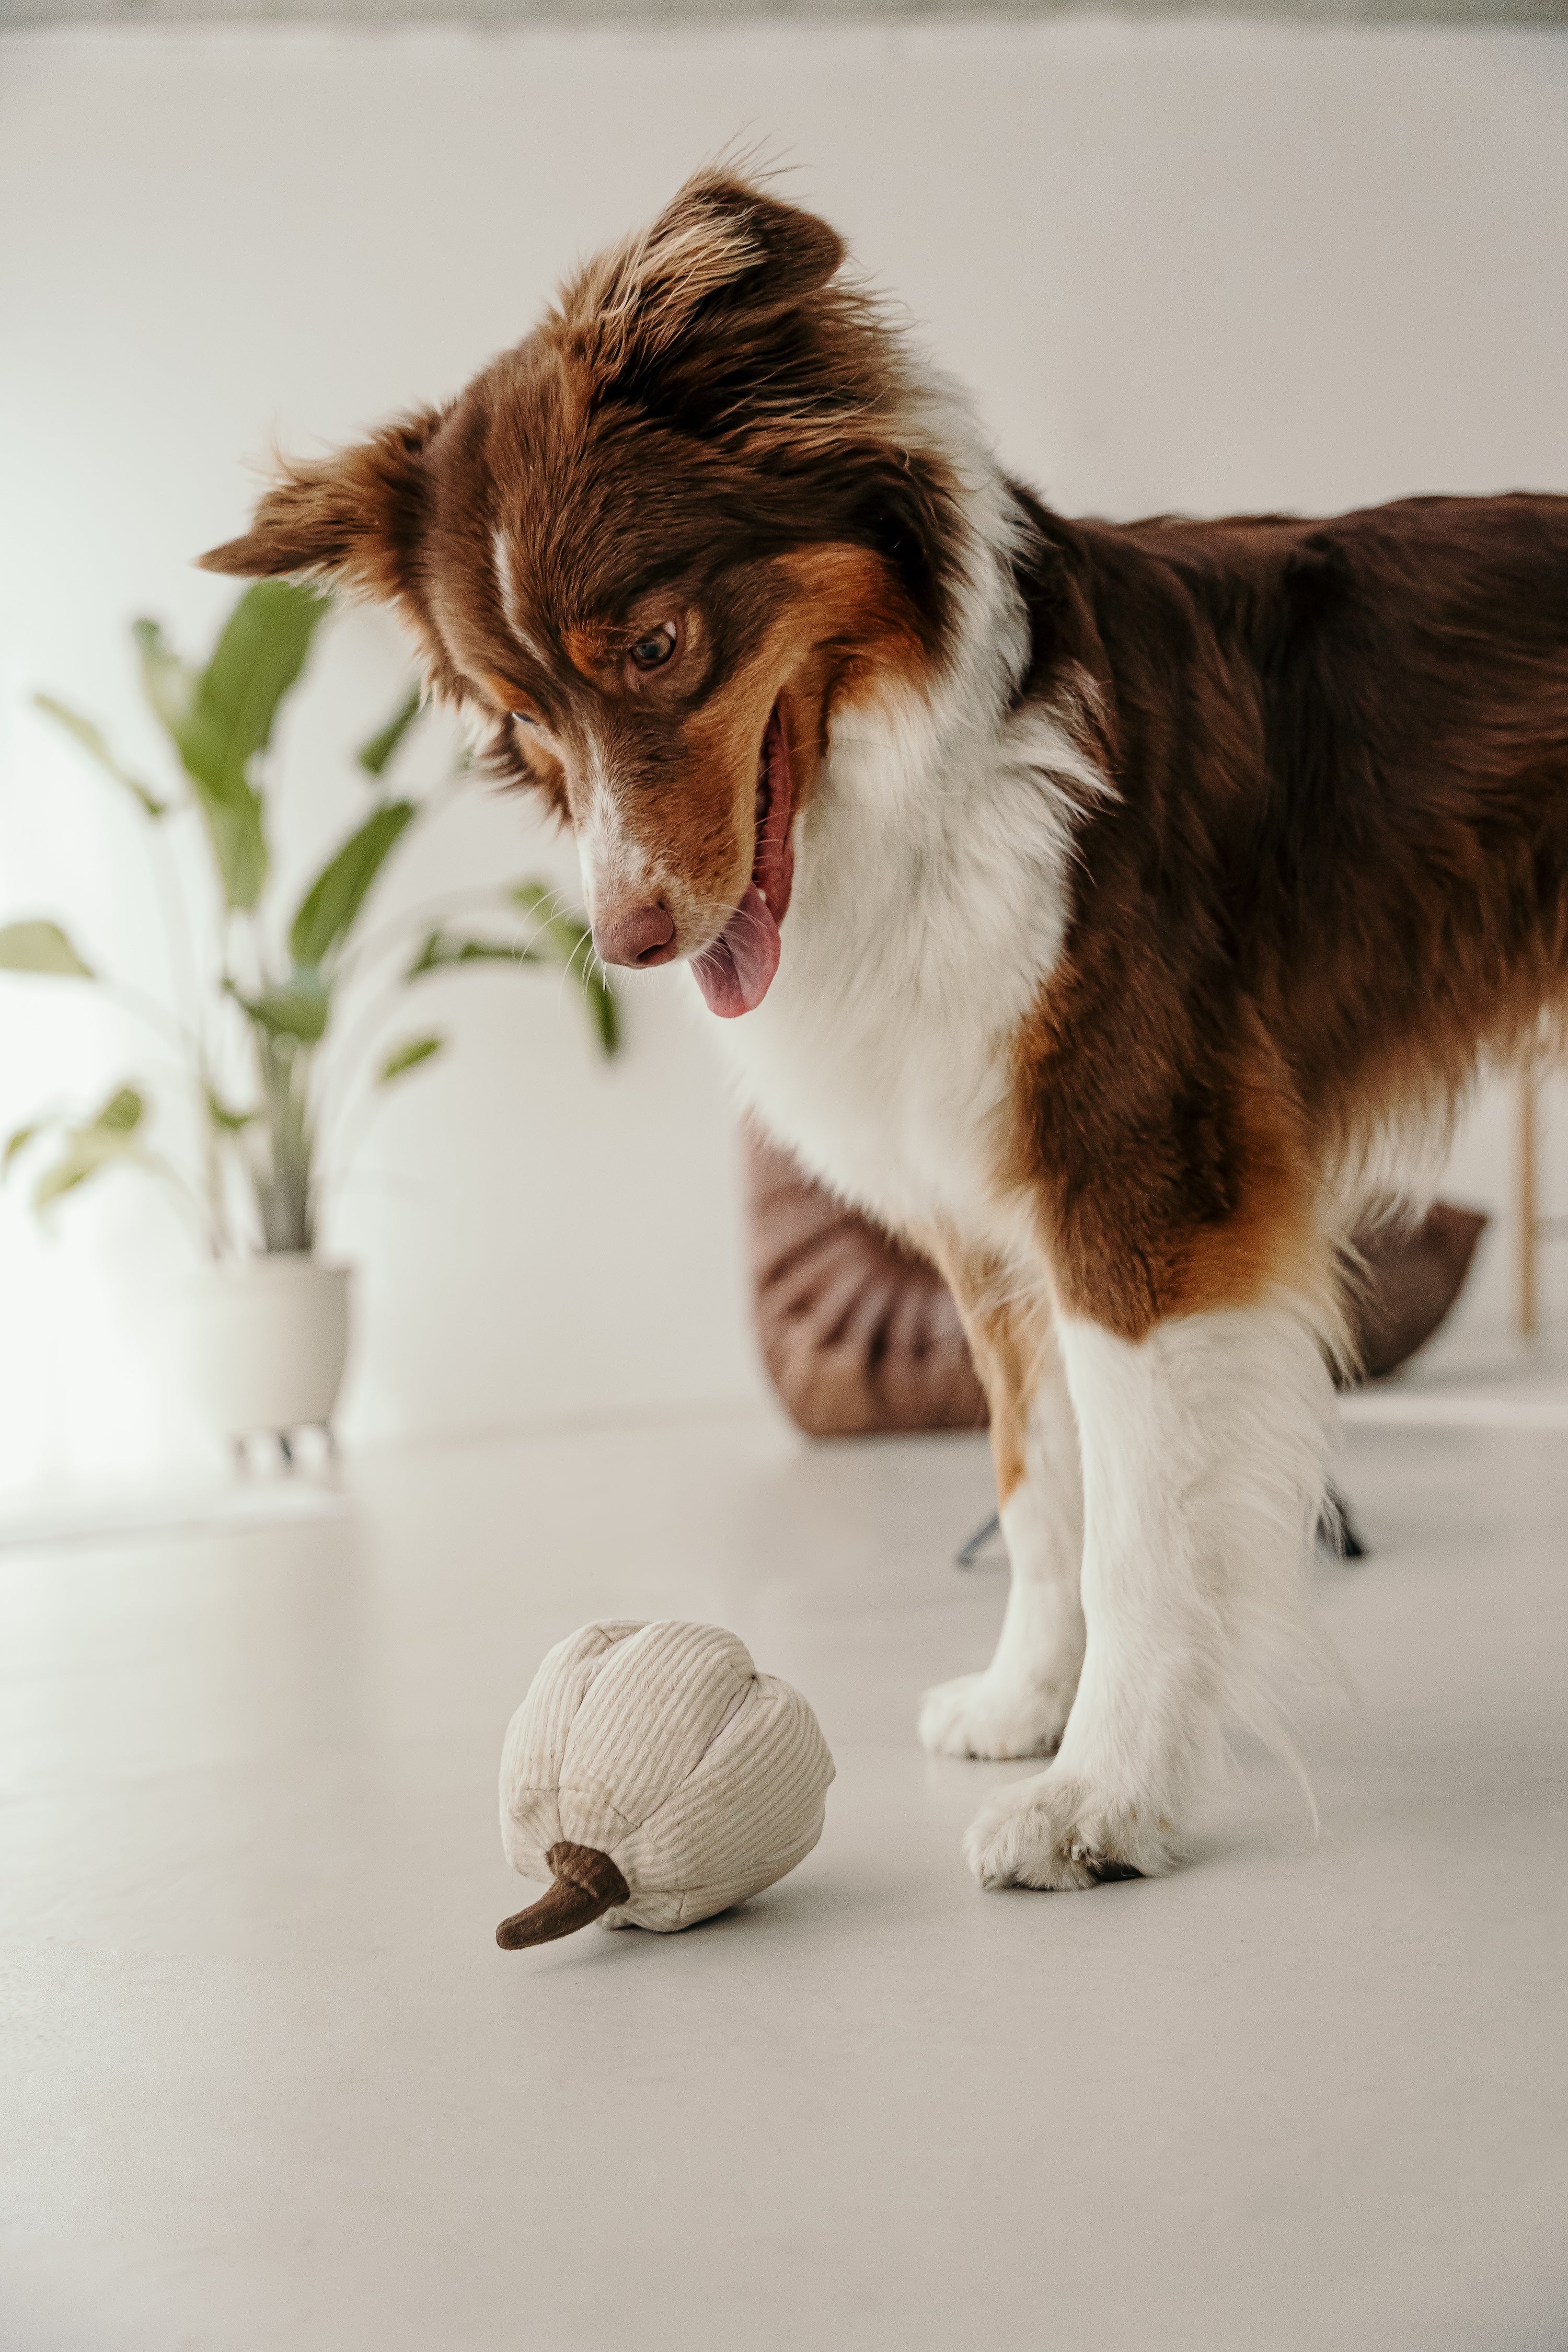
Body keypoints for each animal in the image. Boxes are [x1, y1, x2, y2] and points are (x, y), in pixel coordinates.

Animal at [202, 170, 1568, 1891]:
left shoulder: (1139, 1187)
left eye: (654, 646)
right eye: (518, 718)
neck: (931, 774)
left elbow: (1140, 1527)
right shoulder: (989, 1218)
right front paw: (1026, 1703)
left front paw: (1104, 1794)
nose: (631, 942)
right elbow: (1036, 1483)